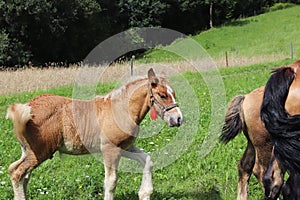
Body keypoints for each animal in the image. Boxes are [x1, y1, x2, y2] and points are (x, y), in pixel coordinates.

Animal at [5, 68, 183, 199]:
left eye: (174, 93)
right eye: (163, 95)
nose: (178, 119)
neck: (120, 110)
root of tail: (27, 107)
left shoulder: (124, 147)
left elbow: (147, 160)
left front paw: (144, 193)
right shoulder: (110, 149)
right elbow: (111, 182)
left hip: (29, 151)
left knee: (21, 174)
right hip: (40, 152)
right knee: (17, 173)